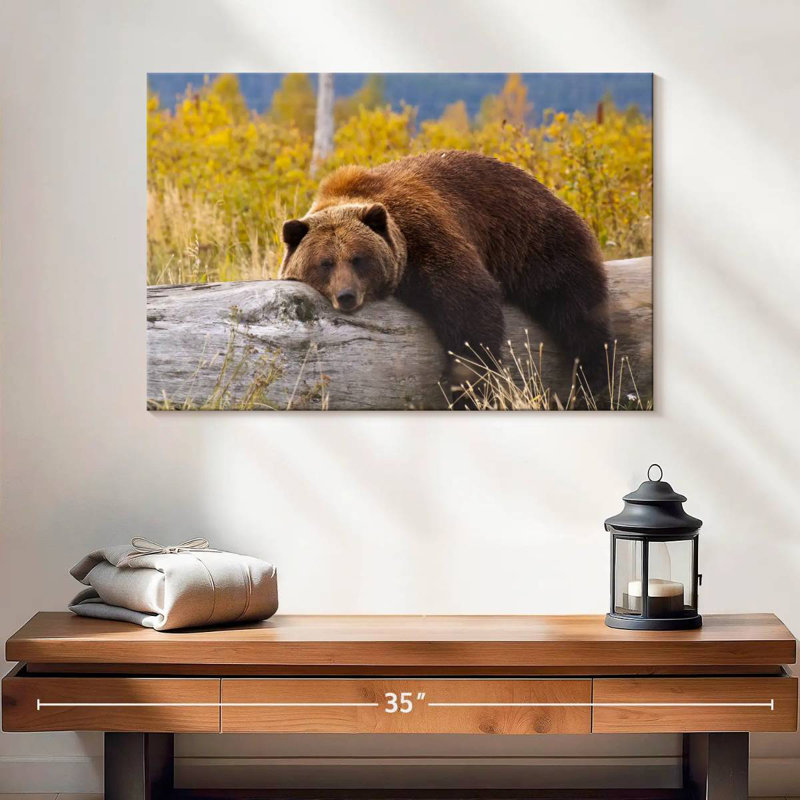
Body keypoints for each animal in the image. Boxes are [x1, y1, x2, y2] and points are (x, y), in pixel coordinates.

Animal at [279, 150, 611, 389]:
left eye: (358, 258)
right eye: (325, 263)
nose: (346, 295)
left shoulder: (424, 232)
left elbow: (469, 304)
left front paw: (464, 383)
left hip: (535, 240)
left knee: (576, 308)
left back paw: (592, 375)